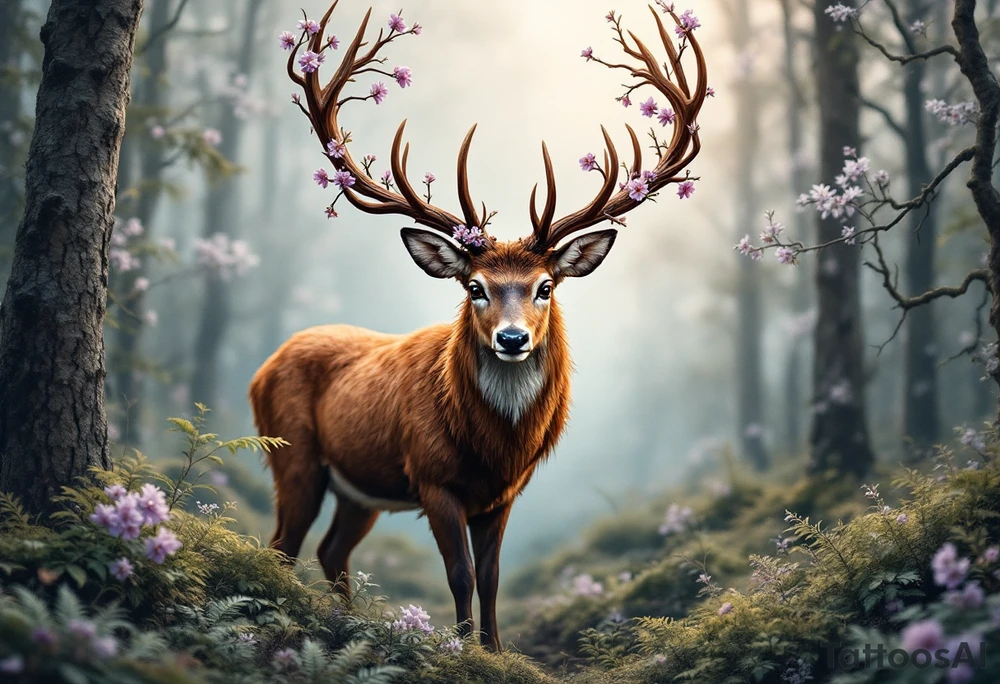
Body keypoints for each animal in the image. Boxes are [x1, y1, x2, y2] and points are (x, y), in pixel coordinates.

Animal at [250, 1, 707, 651]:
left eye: (546, 287)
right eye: (474, 287)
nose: (512, 339)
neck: (494, 447)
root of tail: (263, 369)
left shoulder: (503, 494)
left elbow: (492, 577)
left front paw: (495, 649)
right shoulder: (433, 477)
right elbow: (460, 574)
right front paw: (463, 651)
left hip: (359, 488)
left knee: (331, 551)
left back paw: (348, 622)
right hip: (291, 453)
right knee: (281, 545)